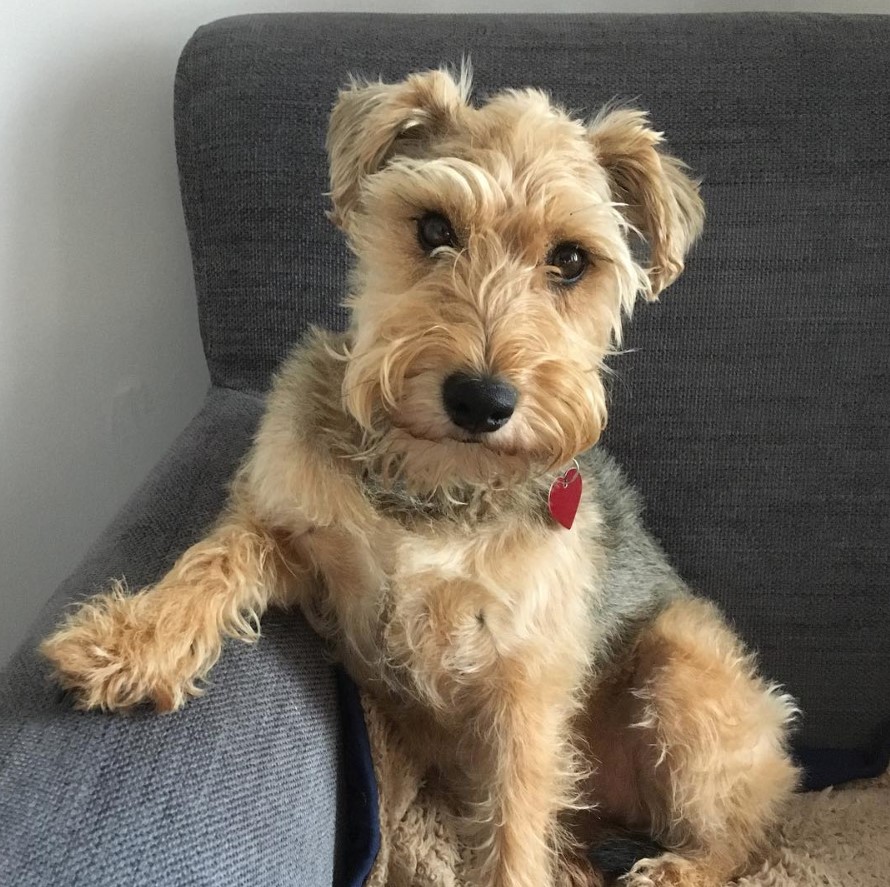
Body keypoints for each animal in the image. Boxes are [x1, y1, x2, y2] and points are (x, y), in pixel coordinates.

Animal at [40, 69, 796, 887]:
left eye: (570, 260)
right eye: (434, 227)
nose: (481, 400)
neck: (432, 489)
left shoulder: (523, 677)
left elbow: (513, 825)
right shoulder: (293, 527)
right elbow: (214, 559)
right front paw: (130, 643)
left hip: (686, 666)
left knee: (737, 834)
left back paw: (674, 867)